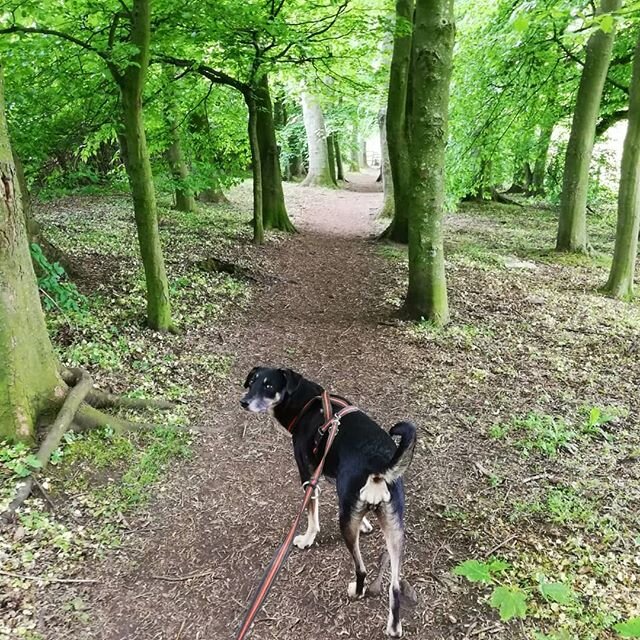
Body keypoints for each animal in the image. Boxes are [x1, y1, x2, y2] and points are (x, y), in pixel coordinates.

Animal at [239, 364, 416, 636]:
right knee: (394, 586)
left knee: (361, 568)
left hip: (351, 531)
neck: (307, 403)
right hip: (395, 529)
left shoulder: (308, 477)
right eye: (252, 382)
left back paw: (356, 591)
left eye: (268, 385)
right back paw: (393, 627)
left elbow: (312, 515)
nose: (244, 402)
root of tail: (379, 467)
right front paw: (365, 524)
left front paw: (307, 539)